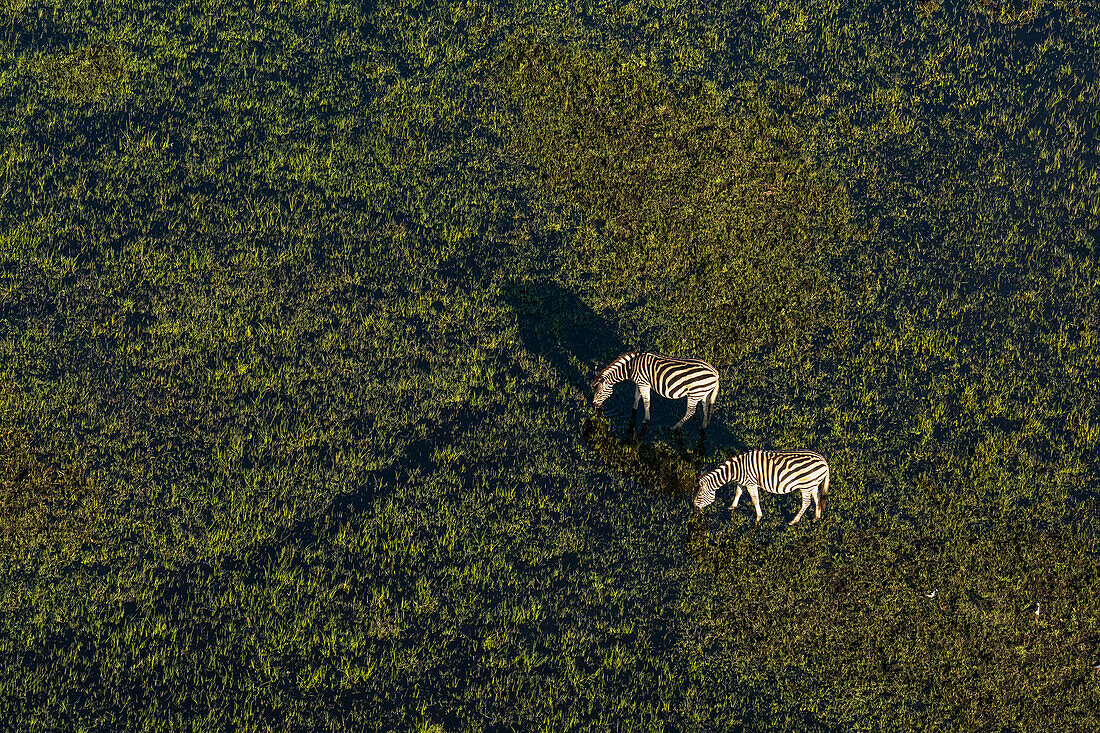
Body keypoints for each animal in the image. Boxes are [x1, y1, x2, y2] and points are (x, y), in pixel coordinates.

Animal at [695, 449, 831, 521]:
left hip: (806, 486)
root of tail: (823, 460)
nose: (695, 506)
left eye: (700, 495)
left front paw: (758, 517)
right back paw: (816, 517)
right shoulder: (743, 481)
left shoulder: (751, 483)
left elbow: (755, 499)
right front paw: (732, 506)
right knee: (817, 497)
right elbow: (738, 492)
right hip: (813, 484)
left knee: (806, 502)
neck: (737, 470)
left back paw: (794, 521)